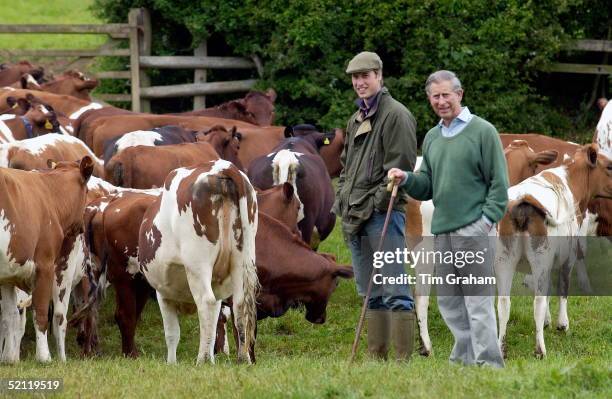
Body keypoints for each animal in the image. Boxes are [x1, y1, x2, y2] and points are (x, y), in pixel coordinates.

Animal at [0, 156, 93, 362]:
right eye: (88, 191)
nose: (82, 227)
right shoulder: (45, 265)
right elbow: (41, 313)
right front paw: (44, 357)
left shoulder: (7, 276)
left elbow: (9, 316)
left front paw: (9, 359)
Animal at [139, 160, 258, 366]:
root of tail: (224, 167)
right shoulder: (218, 289)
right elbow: (213, 322)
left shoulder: (163, 293)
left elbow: (172, 333)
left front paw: (172, 364)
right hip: (243, 260)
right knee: (240, 305)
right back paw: (243, 358)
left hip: (197, 264)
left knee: (206, 301)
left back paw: (201, 360)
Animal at [498, 145, 612, 360]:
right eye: (609, 166)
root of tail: (524, 198)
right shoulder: (569, 256)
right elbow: (562, 288)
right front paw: (562, 324)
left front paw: (547, 321)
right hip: (539, 260)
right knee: (538, 302)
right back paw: (540, 349)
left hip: (504, 260)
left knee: (503, 302)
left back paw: (500, 347)